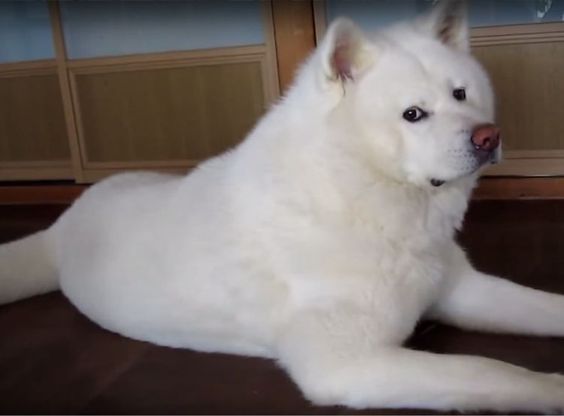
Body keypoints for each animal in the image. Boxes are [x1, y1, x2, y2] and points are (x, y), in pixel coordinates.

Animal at [1, 1, 564, 412]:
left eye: (462, 94)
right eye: (413, 114)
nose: (490, 137)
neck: (358, 193)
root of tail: (62, 226)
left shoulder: (461, 291)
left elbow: (544, 310)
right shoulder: (347, 364)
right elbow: (489, 370)